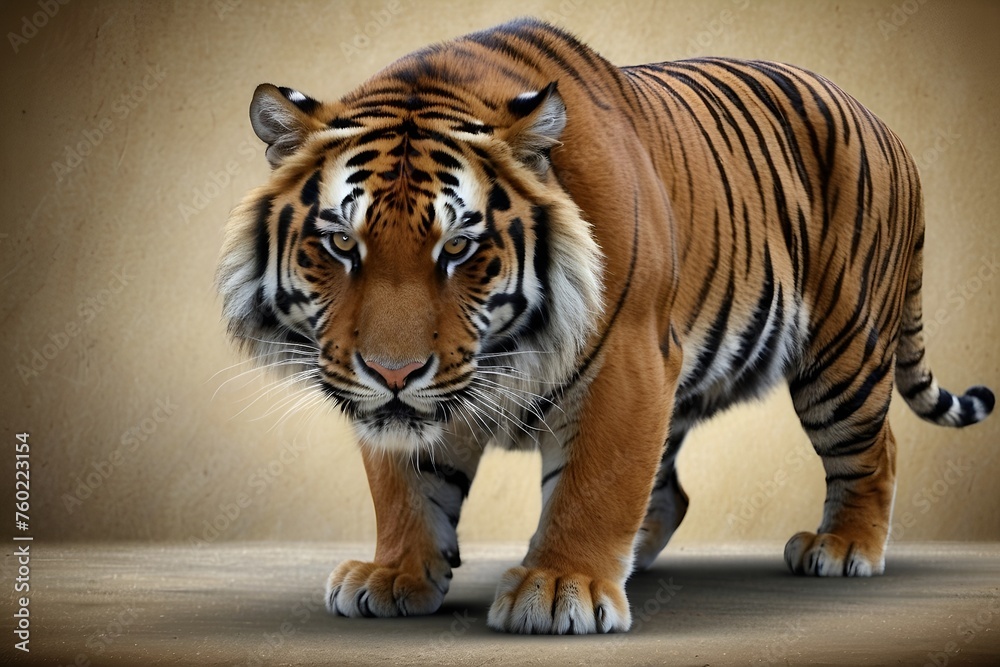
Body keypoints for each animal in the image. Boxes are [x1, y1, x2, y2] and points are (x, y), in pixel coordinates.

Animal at [216, 18, 995, 634]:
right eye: (340, 244)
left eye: (459, 247)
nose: (394, 372)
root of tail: (883, 124)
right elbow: (406, 485)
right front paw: (396, 575)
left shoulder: (627, 358)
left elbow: (595, 480)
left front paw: (561, 586)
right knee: (671, 489)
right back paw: (639, 556)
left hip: (843, 353)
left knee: (876, 449)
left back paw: (843, 548)